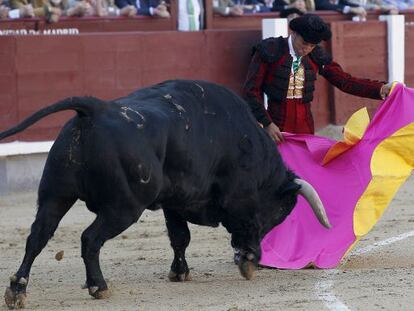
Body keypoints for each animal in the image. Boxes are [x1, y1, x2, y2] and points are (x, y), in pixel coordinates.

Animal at [0, 80, 330, 310]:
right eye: (279, 214)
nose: (255, 258)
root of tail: (96, 108)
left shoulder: (175, 201)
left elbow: (179, 237)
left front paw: (179, 272)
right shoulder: (241, 201)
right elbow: (233, 227)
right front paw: (248, 262)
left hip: (55, 195)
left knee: (38, 236)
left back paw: (17, 290)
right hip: (123, 208)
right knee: (90, 239)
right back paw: (99, 286)